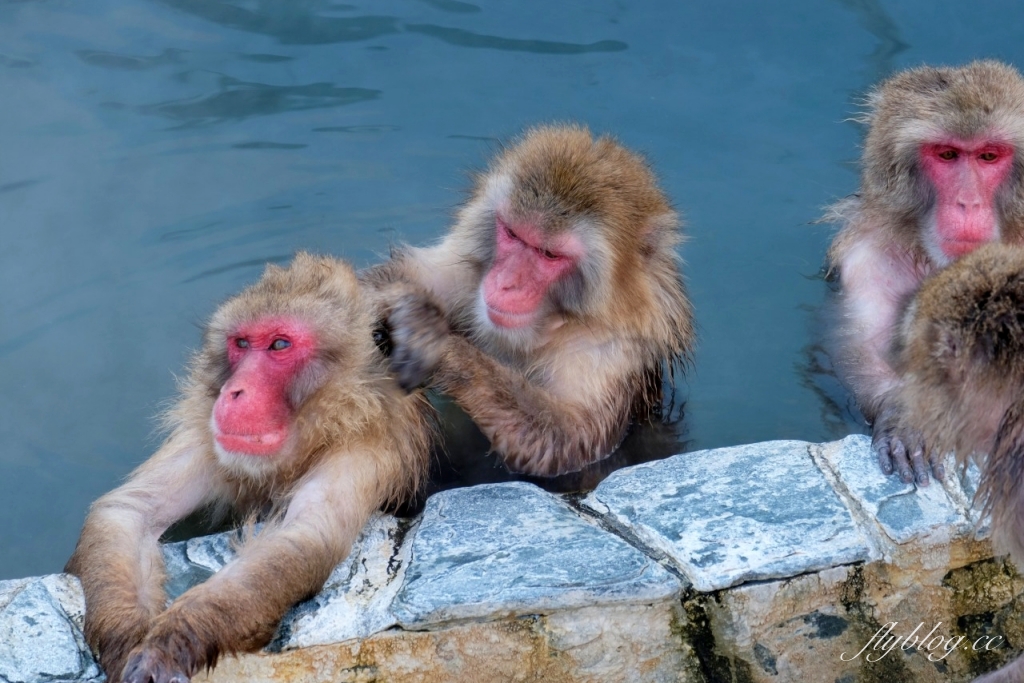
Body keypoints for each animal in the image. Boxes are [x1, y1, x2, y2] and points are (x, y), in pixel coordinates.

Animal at [62, 254, 432, 683]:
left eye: (279, 344)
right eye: (241, 344)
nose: (233, 391)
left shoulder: (367, 449)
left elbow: (305, 536)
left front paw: (168, 642)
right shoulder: (208, 436)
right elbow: (129, 509)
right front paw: (126, 644)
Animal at [362, 124, 696, 475]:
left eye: (549, 254)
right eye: (512, 233)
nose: (506, 283)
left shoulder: (608, 352)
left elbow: (567, 441)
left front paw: (442, 349)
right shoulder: (466, 277)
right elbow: (384, 278)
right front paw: (409, 313)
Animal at [827, 58, 1024, 485]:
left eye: (988, 156)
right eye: (947, 155)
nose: (968, 203)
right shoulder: (865, 259)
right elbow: (868, 348)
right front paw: (906, 419)